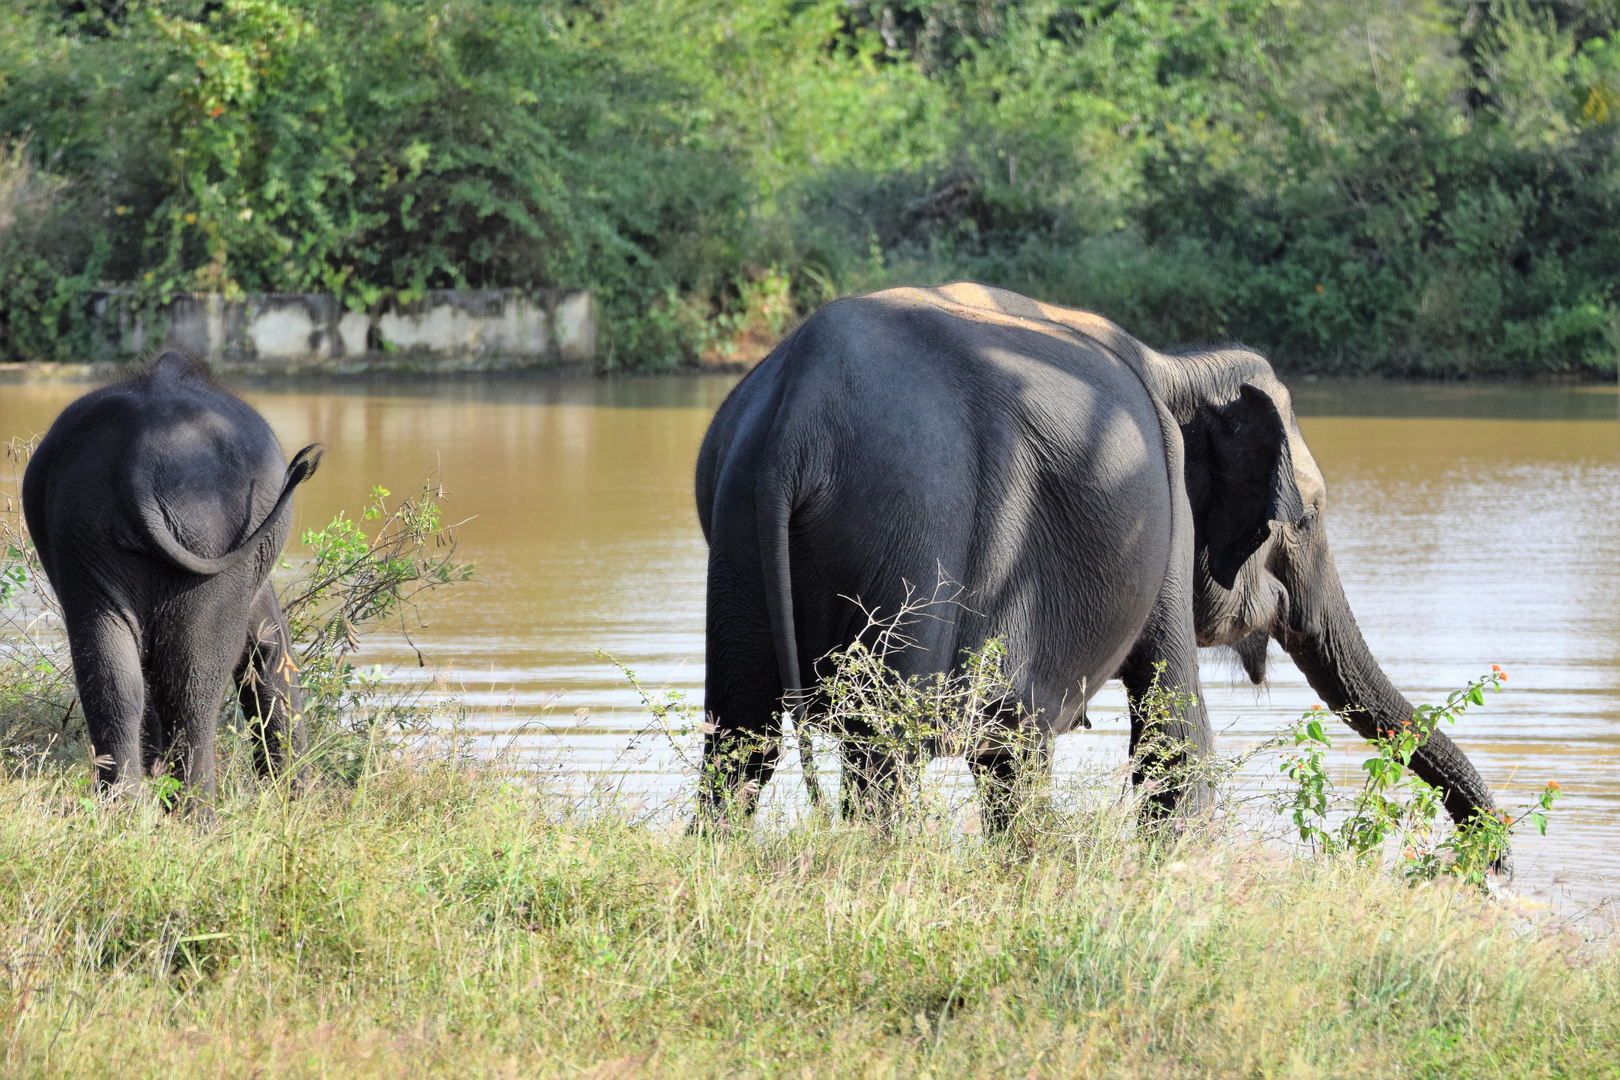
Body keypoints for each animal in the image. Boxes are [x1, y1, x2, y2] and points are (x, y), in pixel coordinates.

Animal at [24, 351, 322, 806]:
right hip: (211, 536)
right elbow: (268, 646)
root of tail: (137, 457)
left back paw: (122, 808)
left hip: (81, 531)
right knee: (194, 686)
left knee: (114, 675)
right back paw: (198, 814)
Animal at [690, 284, 1496, 835]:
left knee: (741, 739)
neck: (1182, 367)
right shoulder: (1162, 520)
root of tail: (798, 415)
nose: (1487, 871)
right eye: (1308, 519)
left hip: (737, 533)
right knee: (890, 748)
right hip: (910, 526)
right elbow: (1174, 744)